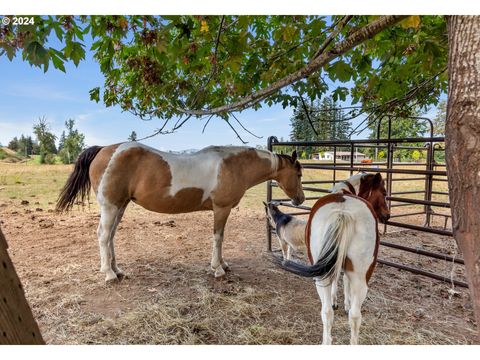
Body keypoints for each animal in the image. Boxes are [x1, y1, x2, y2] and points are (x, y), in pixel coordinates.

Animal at [57, 142, 304, 282]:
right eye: (299, 174)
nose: (300, 199)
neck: (234, 165)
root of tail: (104, 150)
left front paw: (223, 264)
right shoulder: (221, 209)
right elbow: (218, 238)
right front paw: (218, 269)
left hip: (120, 206)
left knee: (110, 237)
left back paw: (117, 270)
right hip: (110, 206)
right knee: (103, 236)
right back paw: (108, 274)